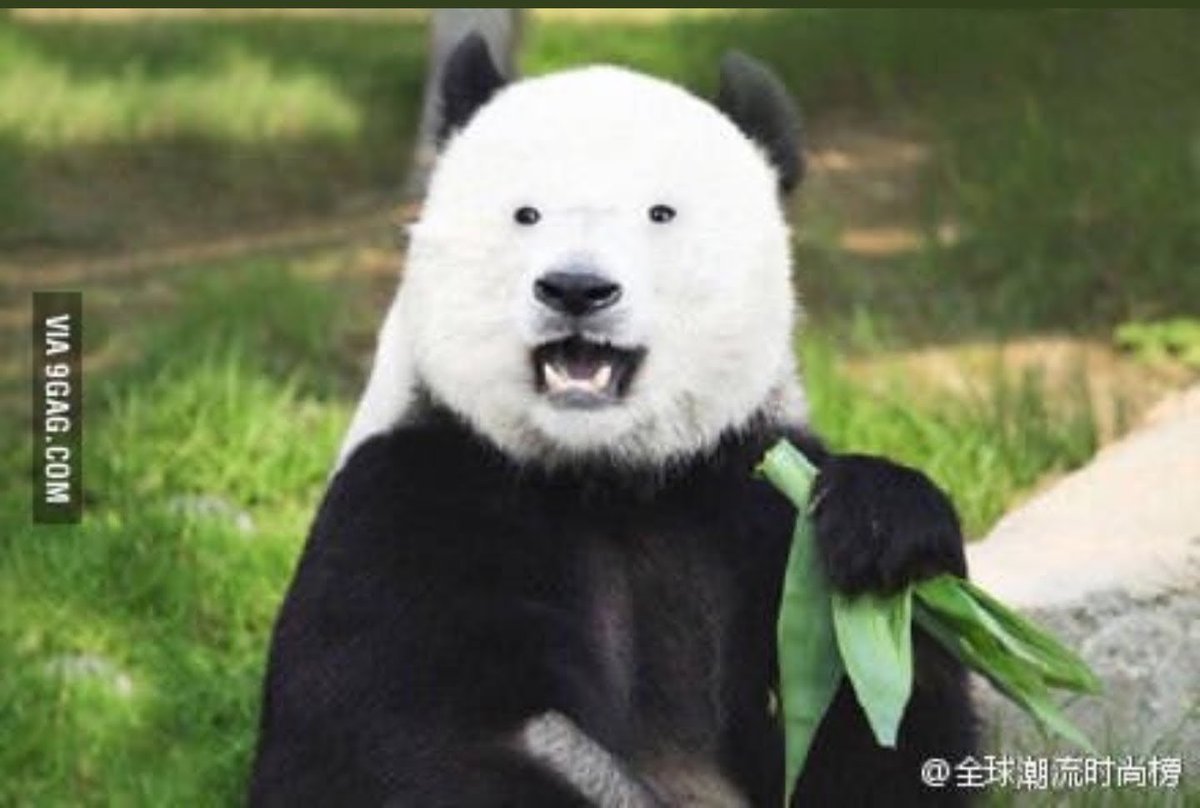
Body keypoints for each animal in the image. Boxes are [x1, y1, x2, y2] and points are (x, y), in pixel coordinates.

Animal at [249, 35, 975, 808]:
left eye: (660, 214)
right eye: (526, 213)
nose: (577, 289)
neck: (606, 473)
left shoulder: (747, 497)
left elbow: (880, 739)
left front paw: (881, 525)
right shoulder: (415, 497)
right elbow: (383, 746)